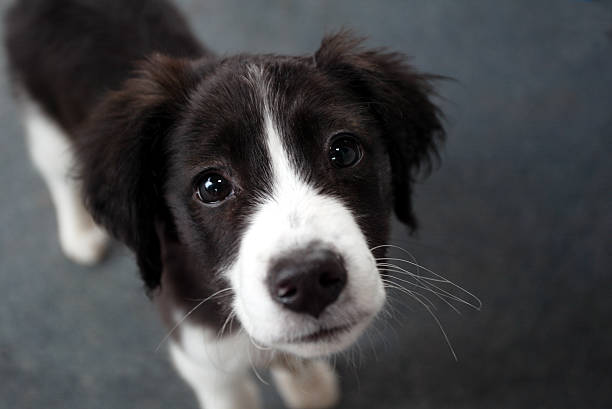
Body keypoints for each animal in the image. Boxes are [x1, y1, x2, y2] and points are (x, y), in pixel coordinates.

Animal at [4, 0, 444, 408]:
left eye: (344, 151)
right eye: (212, 186)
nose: (308, 281)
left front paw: (308, 384)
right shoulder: (200, 355)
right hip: (41, 116)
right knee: (57, 172)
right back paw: (80, 233)